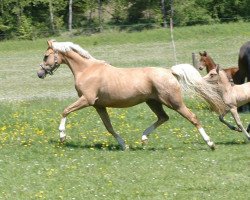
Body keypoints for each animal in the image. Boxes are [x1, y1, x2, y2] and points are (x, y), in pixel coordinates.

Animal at [36, 39, 223, 150]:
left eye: (46, 56)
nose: (39, 73)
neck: (87, 70)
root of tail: (169, 71)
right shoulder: (99, 105)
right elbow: (109, 127)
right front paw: (123, 145)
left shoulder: (87, 100)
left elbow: (65, 111)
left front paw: (62, 136)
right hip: (153, 102)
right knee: (163, 118)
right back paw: (143, 138)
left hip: (174, 102)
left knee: (193, 117)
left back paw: (211, 143)